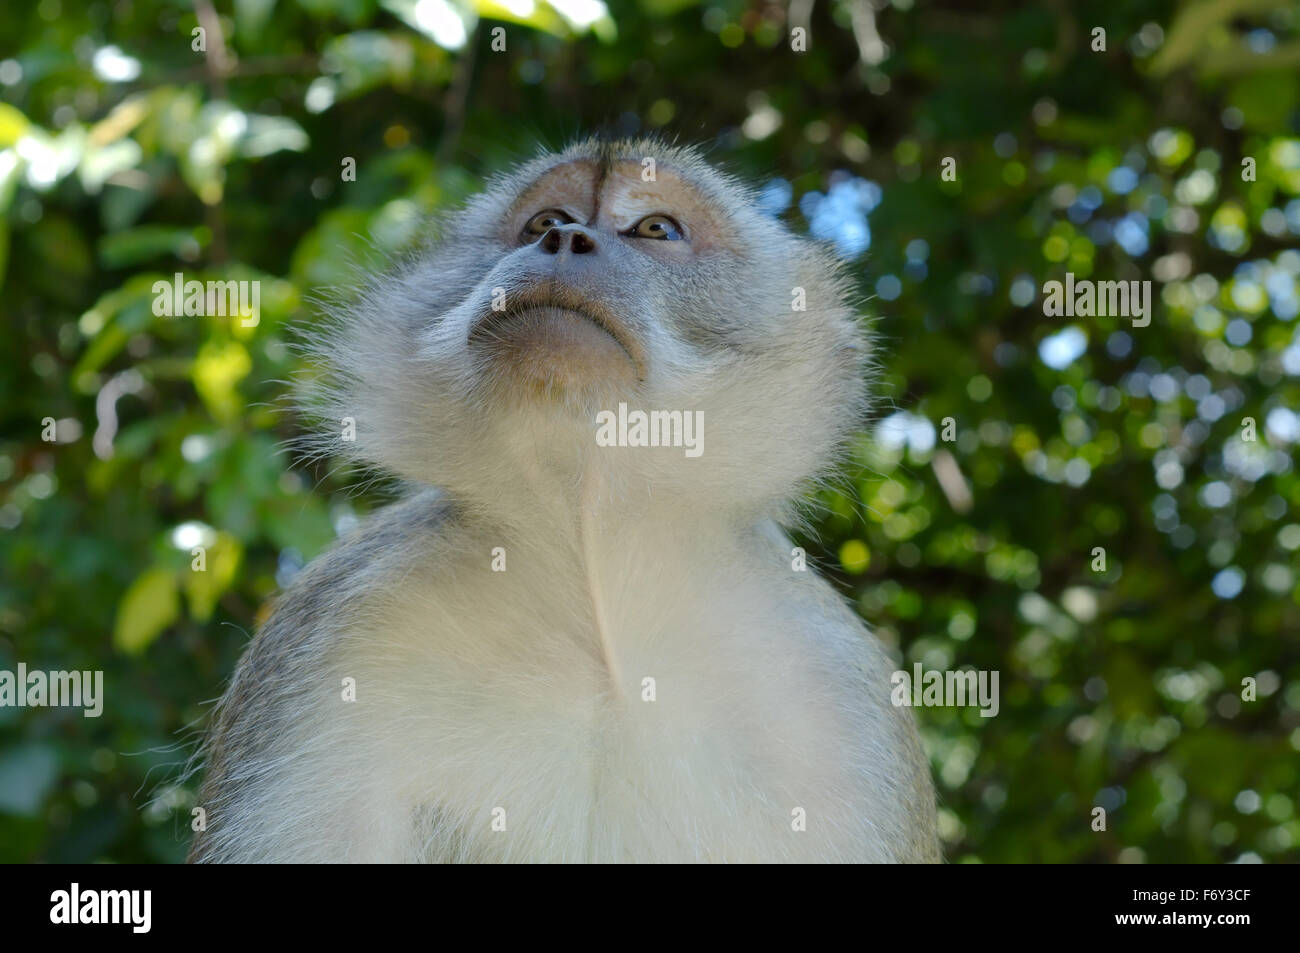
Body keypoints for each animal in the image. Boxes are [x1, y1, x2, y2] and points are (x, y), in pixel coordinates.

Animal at [188, 136, 940, 863]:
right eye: (544, 221)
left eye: (656, 228)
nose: (564, 240)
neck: (593, 567)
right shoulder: (329, 642)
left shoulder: (842, 700)